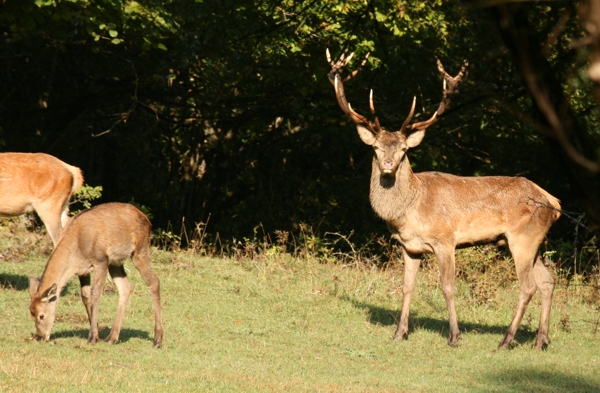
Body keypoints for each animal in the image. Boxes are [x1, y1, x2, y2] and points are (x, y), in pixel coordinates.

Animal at [28, 202, 162, 346]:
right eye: (31, 313)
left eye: (41, 315)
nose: (40, 336)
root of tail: (147, 220)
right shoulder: (83, 270)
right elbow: (85, 296)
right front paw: (96, 334)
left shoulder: (101, 260)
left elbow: (96, 295)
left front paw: (92, 337)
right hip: (115, 262)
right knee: (125, 287)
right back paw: (112, 337)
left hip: (139, 251)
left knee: (154, 282)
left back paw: (157, 340)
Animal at [326, 49, 560, 350]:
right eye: (376, 147)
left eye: (404, 149)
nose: (388, 165)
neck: (410, 212)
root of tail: (554, 203)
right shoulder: (410, 247)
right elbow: (407, 286)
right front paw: (400, 332)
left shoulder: (445, 240)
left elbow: (448, 287)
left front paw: (454, 336)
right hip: (534, 242)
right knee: (547, 281)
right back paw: (540, 341)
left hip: (522, 238)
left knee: (528, 286)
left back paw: (506, 340)